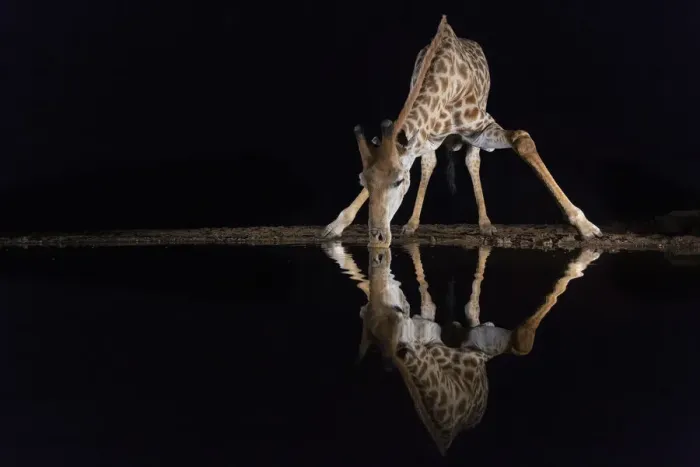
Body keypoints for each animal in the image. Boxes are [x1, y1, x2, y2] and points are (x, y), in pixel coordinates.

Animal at [321, 15, 602, 248]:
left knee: (472, 160)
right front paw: (335, 225)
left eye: (398, 181)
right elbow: (415, 162)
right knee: (430, 164)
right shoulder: (421, 137)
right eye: (362, 181)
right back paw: (411, 224)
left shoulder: (481, 127)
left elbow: (521, 139)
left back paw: (485, 224)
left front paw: (585, 226)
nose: (377, 238)